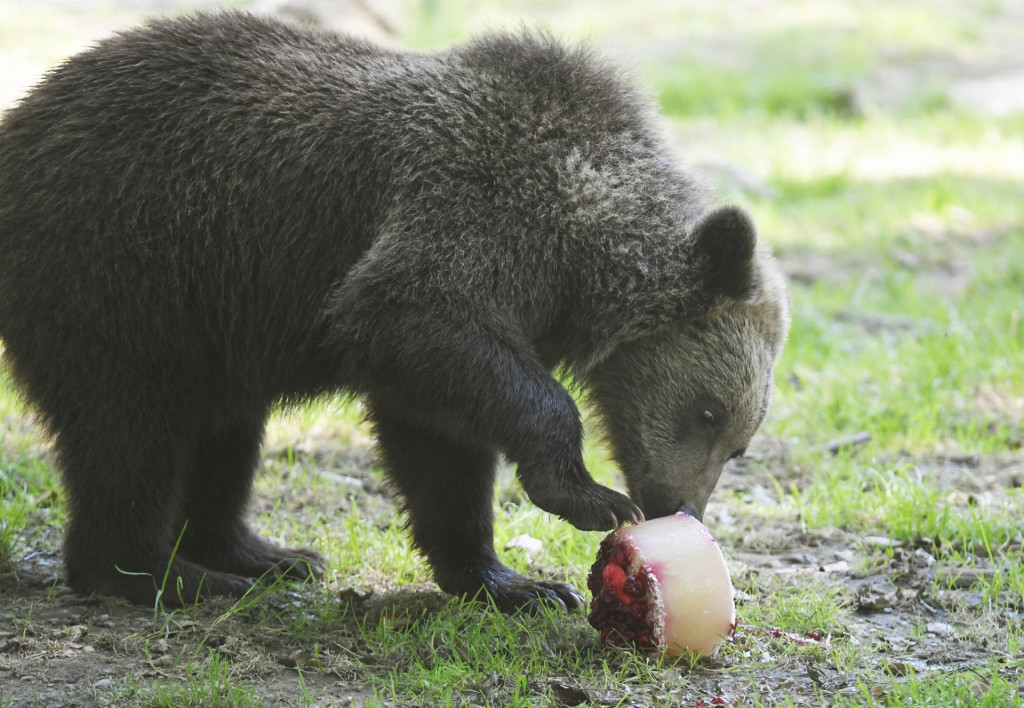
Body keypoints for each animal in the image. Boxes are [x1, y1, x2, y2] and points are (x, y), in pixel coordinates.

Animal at [0, 11, 790, 610]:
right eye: (709, 412)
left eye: (739, 442)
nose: (673, 506)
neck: (572, 247)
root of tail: (22, 121)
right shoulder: (468, 218)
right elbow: (409, 316)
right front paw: (589, 495)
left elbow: (439, 446)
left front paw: (514, 583)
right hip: (119, 276)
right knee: (128, 434)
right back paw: (166, 575)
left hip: (209, 323)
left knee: (222, 435)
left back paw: (262, 554)